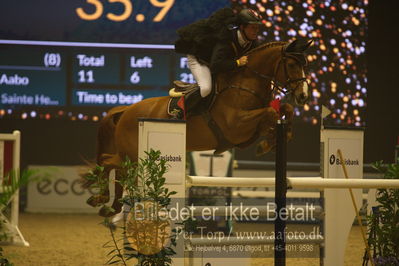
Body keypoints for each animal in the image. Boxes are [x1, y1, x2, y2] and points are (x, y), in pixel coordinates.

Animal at [86, 38, 312, 216]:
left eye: (305, 64)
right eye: (292, 64)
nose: (303, 96)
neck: (245, 84)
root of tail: (127, 110)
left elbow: (284, 109)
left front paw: (276, 138)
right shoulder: (236, 126)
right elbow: (271, 113)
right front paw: (266, 144)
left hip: (131, 157)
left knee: (117, 169)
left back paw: (112, 206)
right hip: (132, 154)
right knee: (107, 161)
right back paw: (101, 200)